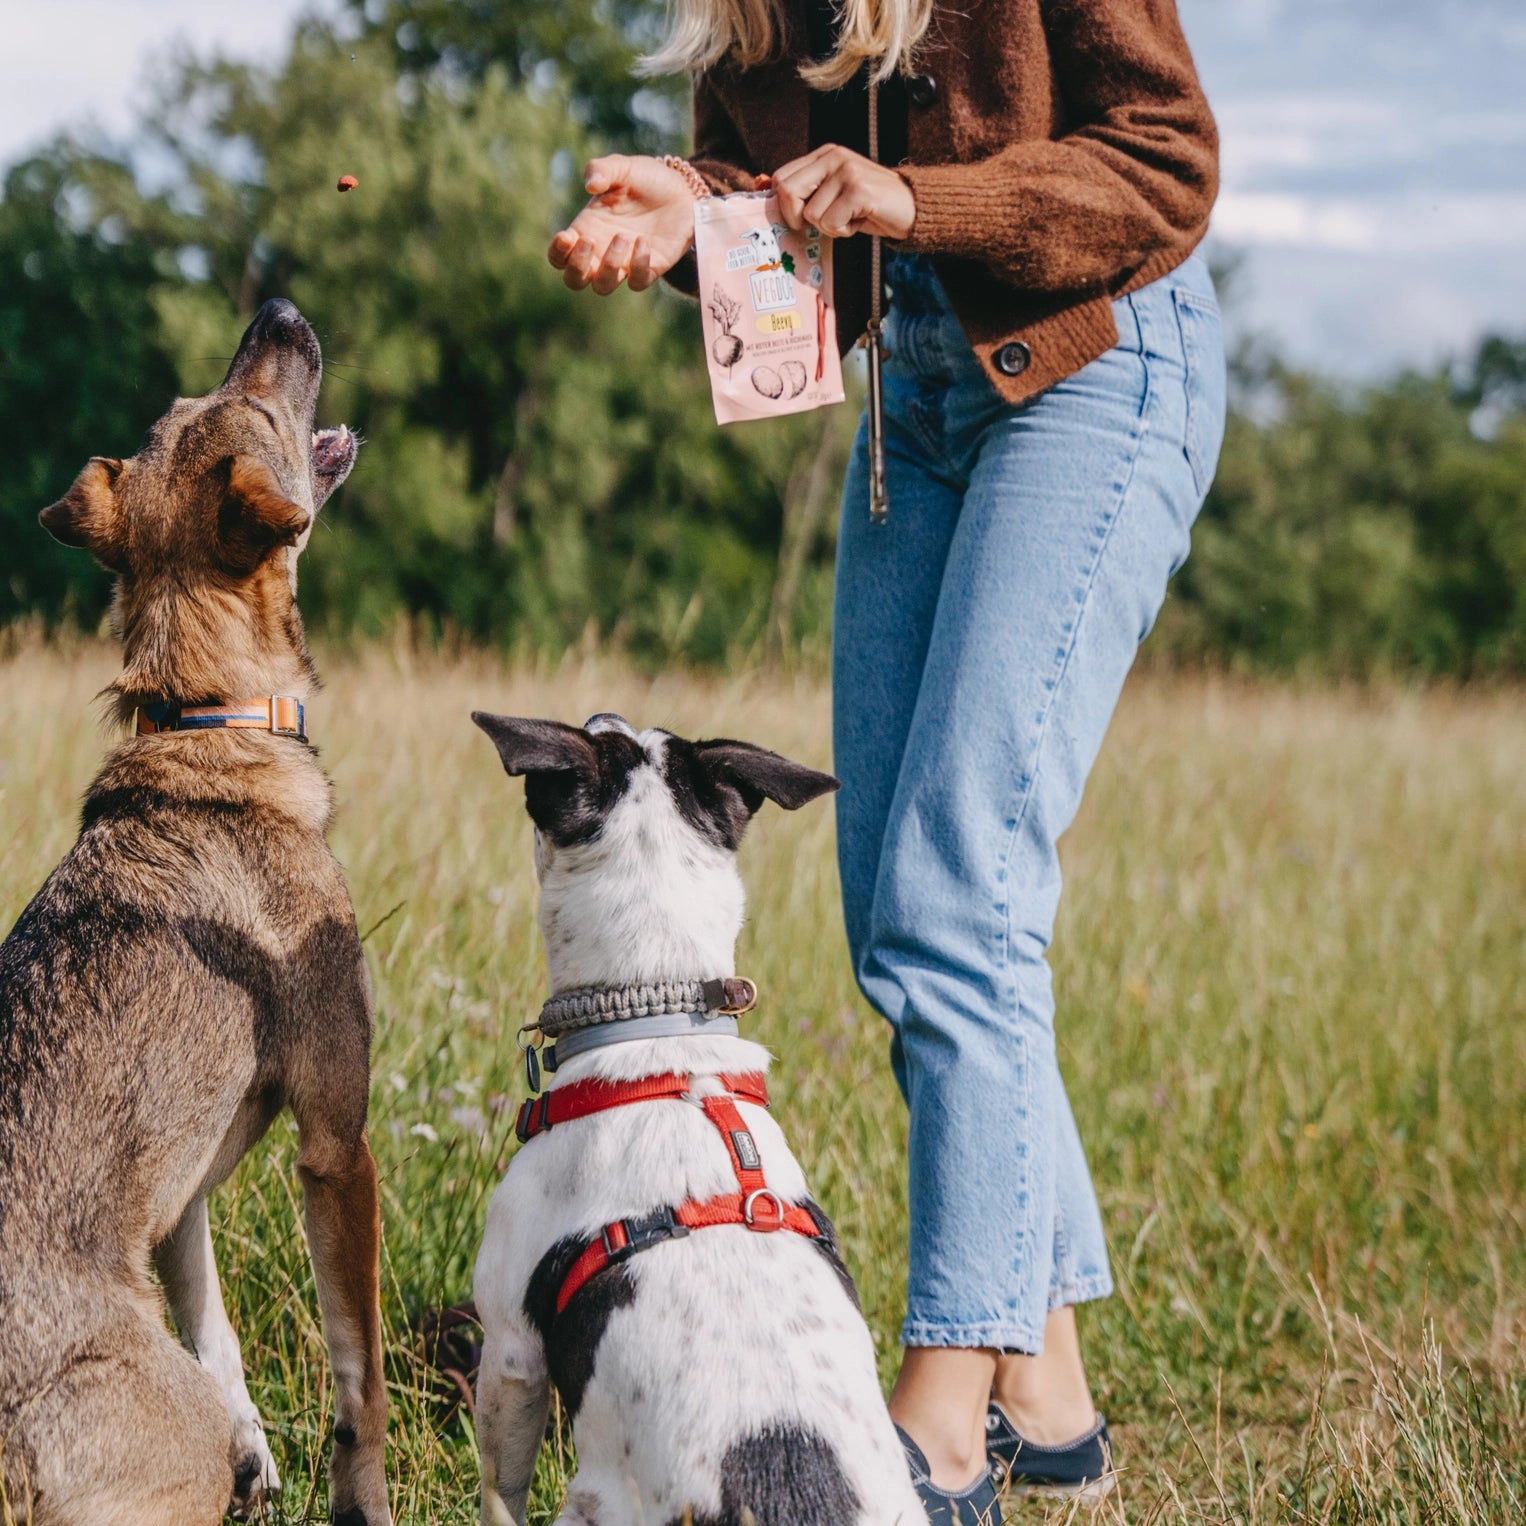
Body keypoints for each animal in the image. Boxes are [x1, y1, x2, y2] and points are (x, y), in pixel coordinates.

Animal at [2, 300, 393, 1526]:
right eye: (256, 409)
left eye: (188, 406)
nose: (280, 310)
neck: (207, 713)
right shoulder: (337, 1144)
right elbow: (359, 1380)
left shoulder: (174, 1206)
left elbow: (217, 1323)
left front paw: (267, 1451)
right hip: (171, 1448)